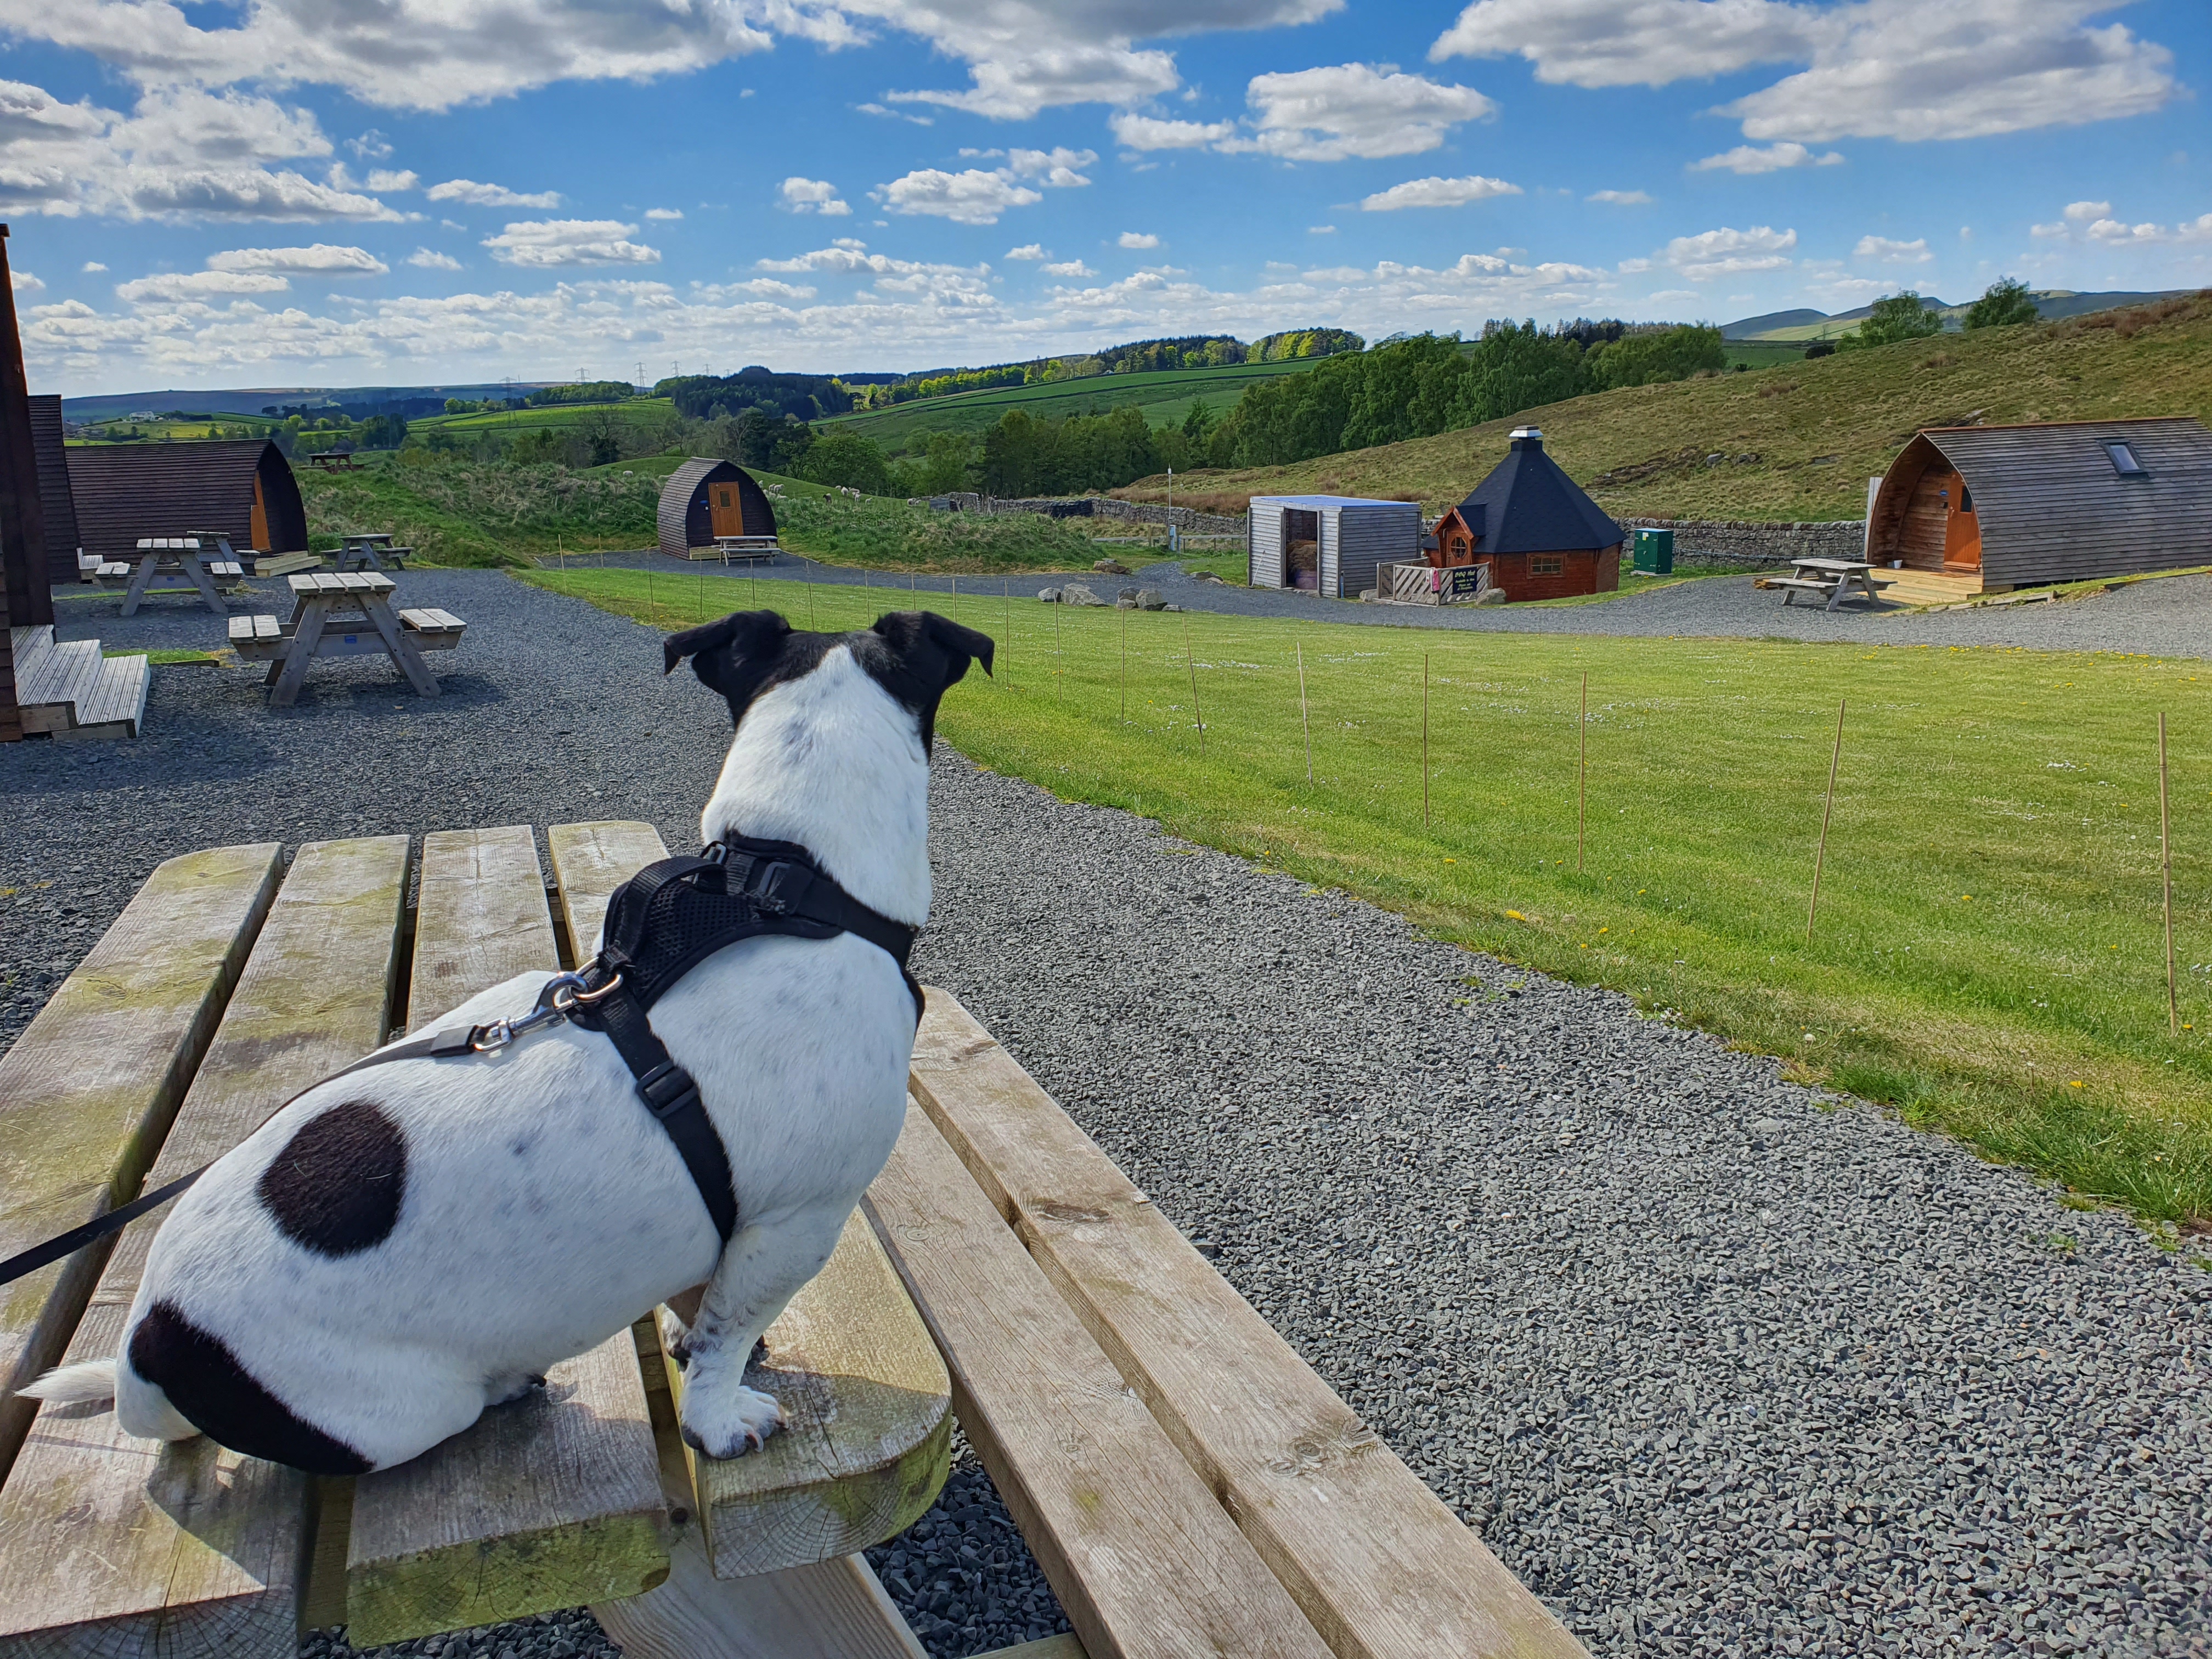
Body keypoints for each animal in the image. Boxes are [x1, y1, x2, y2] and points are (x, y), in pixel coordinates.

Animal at [26, 606, 991, 1469]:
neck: (790, 880)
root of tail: (147, 1346)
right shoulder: (796, 1225)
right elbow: (725, 1333)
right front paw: (717, 1415)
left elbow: (700, 1299)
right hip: (401, 1412)